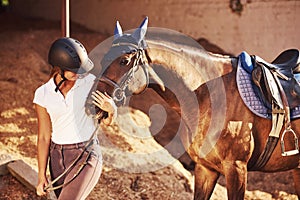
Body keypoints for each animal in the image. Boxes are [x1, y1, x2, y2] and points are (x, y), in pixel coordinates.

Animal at [87, 18, 300, 199]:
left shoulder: (236, 168)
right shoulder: (205, 169)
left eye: (124, 61)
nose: (92, 104)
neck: (208, 93)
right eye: (103, 59)